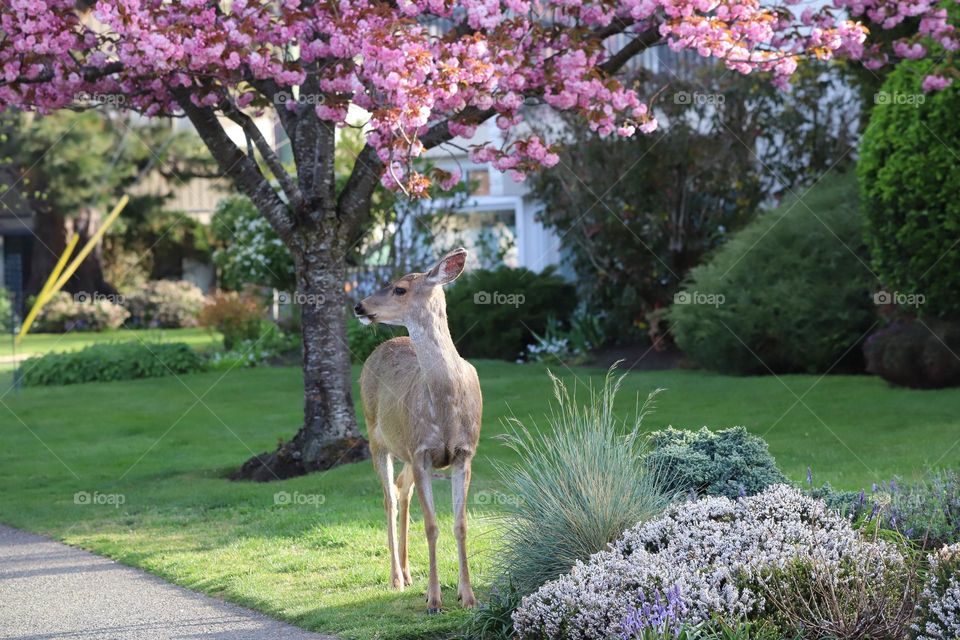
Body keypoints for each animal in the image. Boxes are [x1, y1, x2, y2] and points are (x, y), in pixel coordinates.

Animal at [352, 248, 480, 612]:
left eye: (399, 289)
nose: (359, 306)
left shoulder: (464, 454)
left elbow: (460, 524)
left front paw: (467, 596)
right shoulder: (422, 452)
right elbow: (433, 526)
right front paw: (434, 600)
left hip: (405, 449)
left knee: (401, 488)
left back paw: (410, 574)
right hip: (376, 438)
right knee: (389, 498)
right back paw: (397, 577)